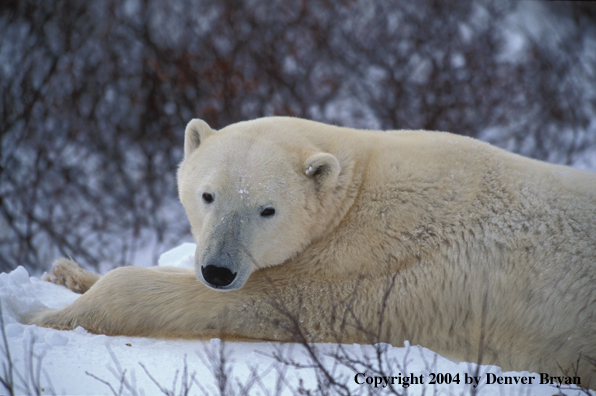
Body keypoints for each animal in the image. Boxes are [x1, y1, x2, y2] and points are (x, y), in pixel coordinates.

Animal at [26, 116, 596, 388]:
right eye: (207, 195)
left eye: (267, 210)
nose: (217, 270)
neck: (356, 187)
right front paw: (65, 273)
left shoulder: (372, 267)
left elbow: (270, 300)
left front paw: (37, 314)